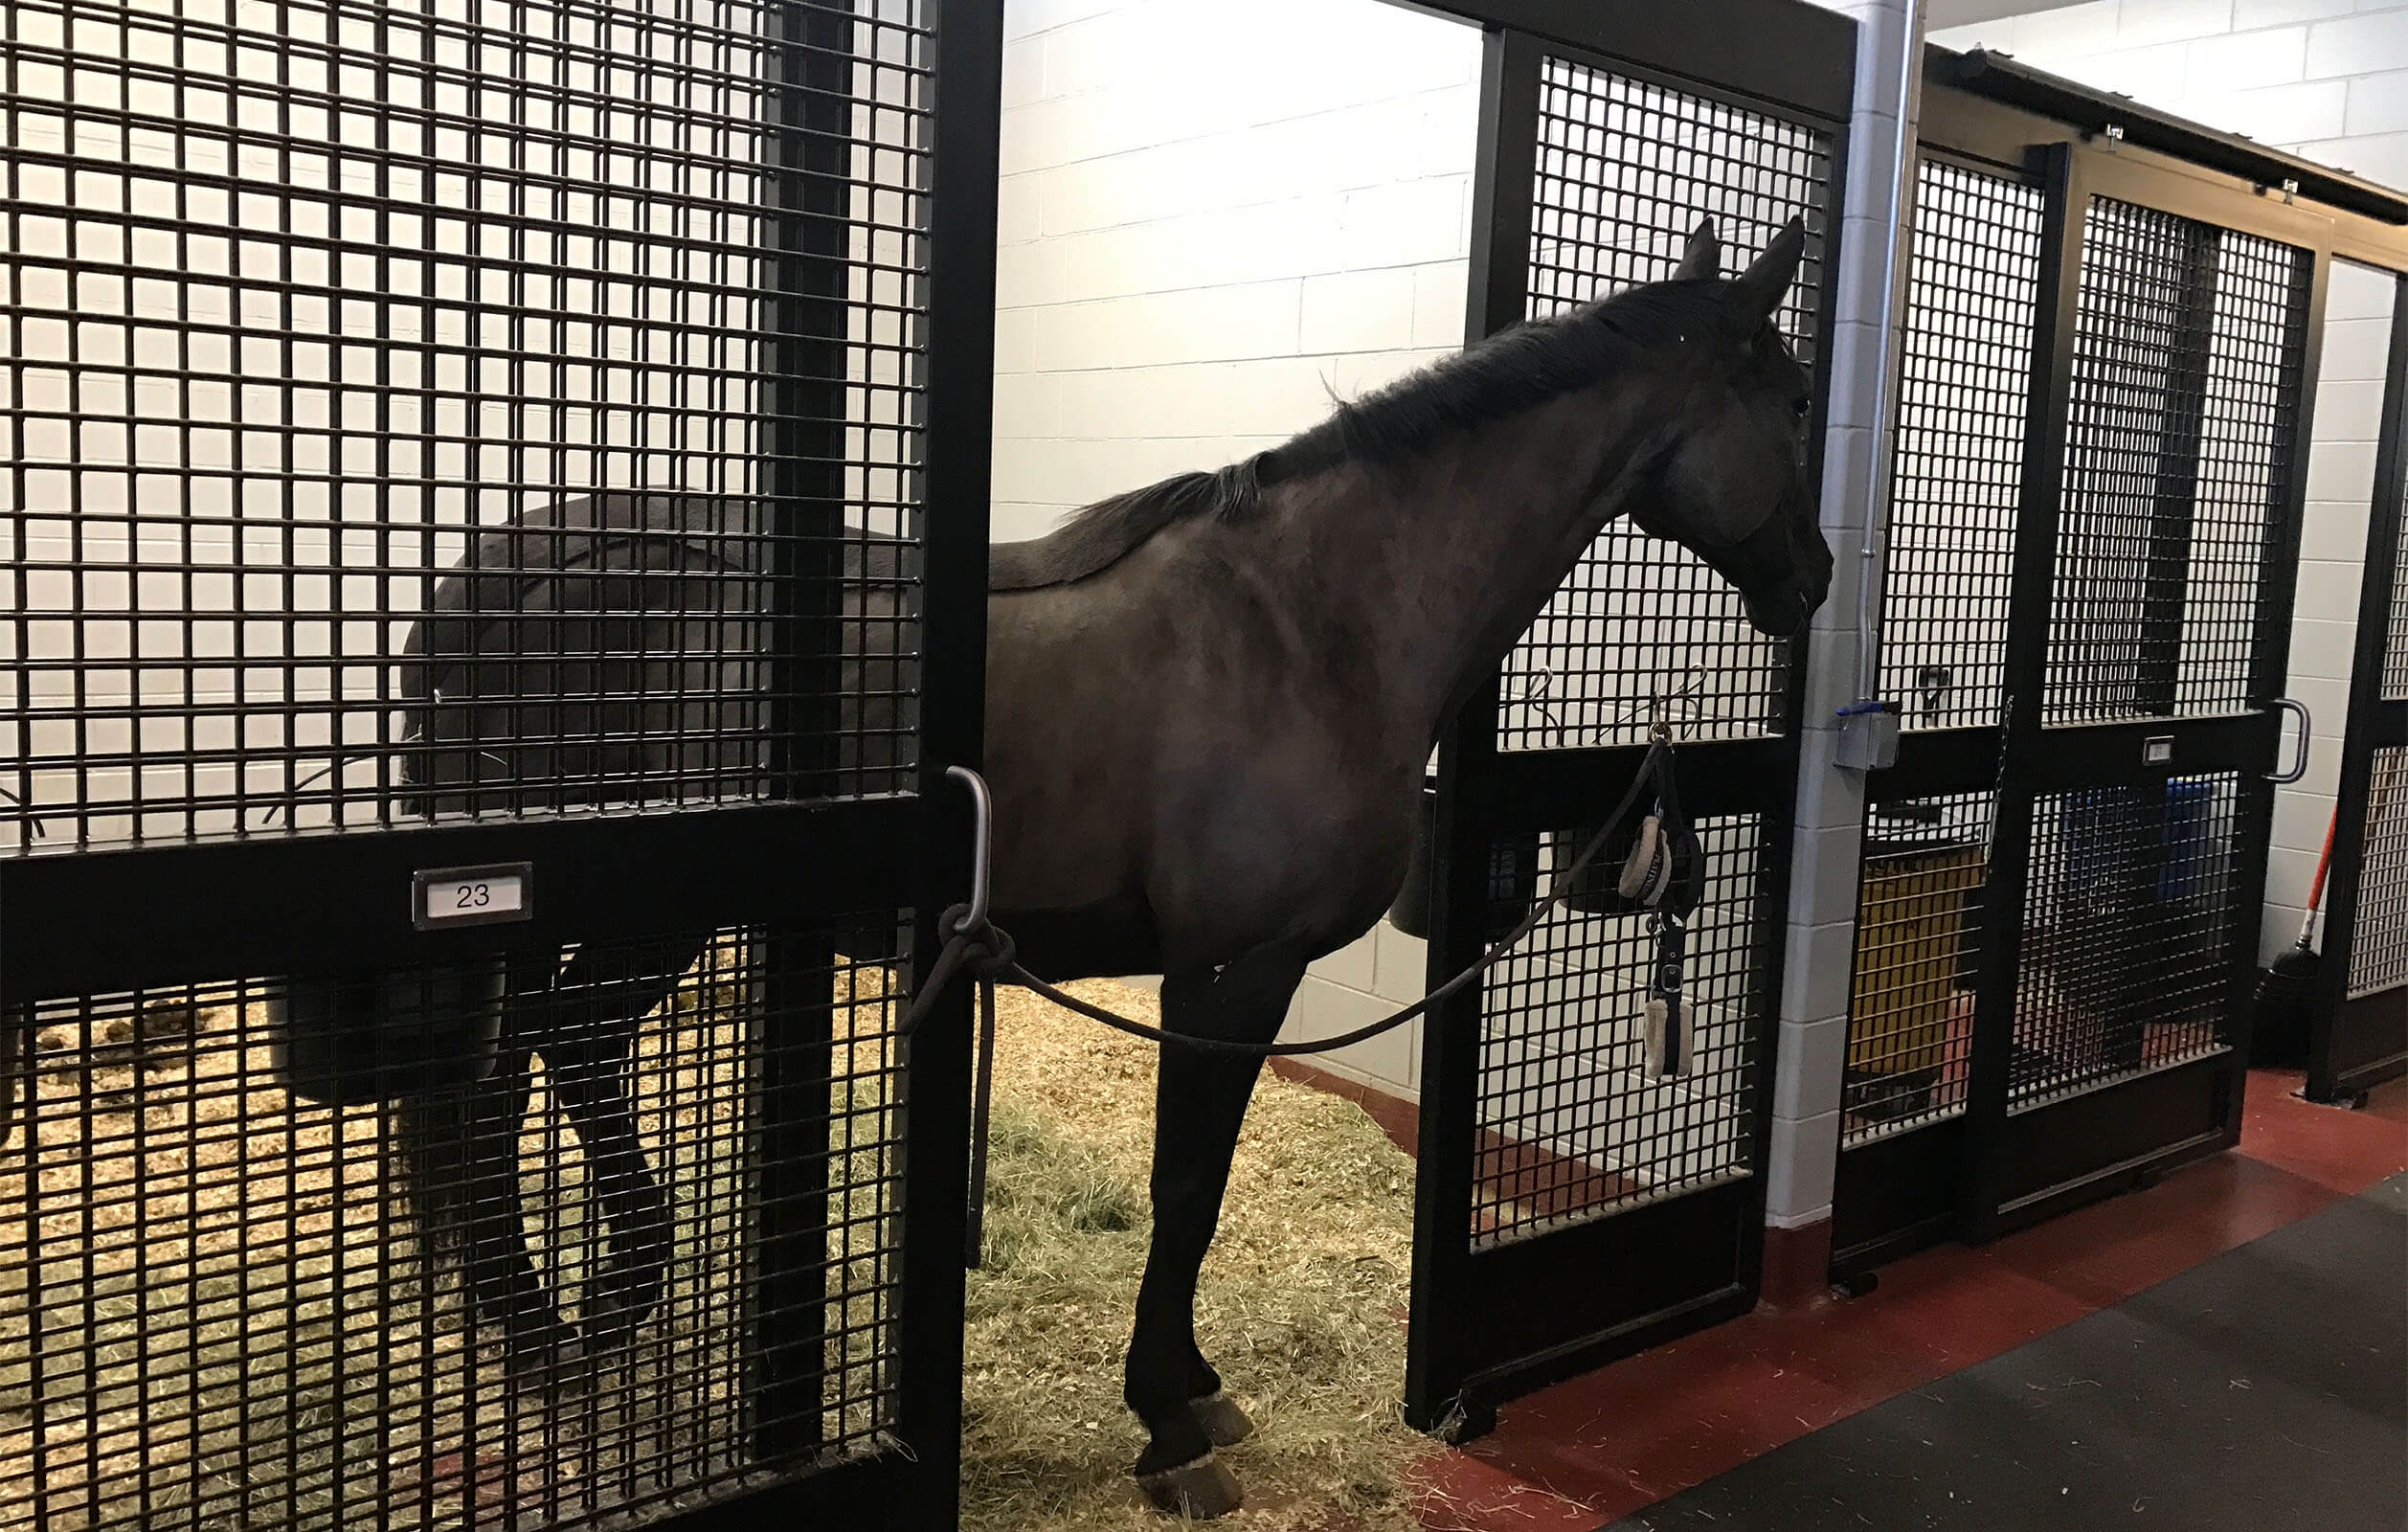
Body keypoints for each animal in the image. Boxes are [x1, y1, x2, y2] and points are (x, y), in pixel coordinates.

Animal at [269, 215, 1828, 1518]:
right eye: (1797, 402)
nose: (1811, 578)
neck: (1308, 621)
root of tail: (499, 583)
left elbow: (1197, 1187)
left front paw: (1191, 1389)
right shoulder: (1229, 968)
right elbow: (1186, 1186)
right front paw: (1168, 1422)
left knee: (509, 1083)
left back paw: (546, 1321)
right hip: (647, 913)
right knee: (555, 1056)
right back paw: (580, 1314)